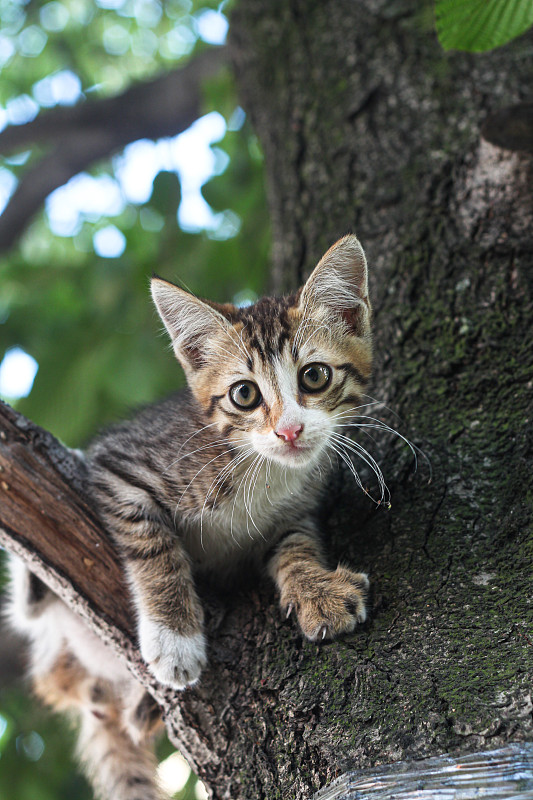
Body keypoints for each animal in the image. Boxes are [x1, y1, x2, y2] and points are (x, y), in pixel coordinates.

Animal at [8, 236, 374, 800]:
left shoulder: (297, 511)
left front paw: (317, 590)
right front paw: (174, 638)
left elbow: (295, 547)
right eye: (244, 394)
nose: (289, 431)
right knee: (30, 607)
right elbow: (155, 549)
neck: (260, 468)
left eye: (315, 376)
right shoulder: (122, 466)